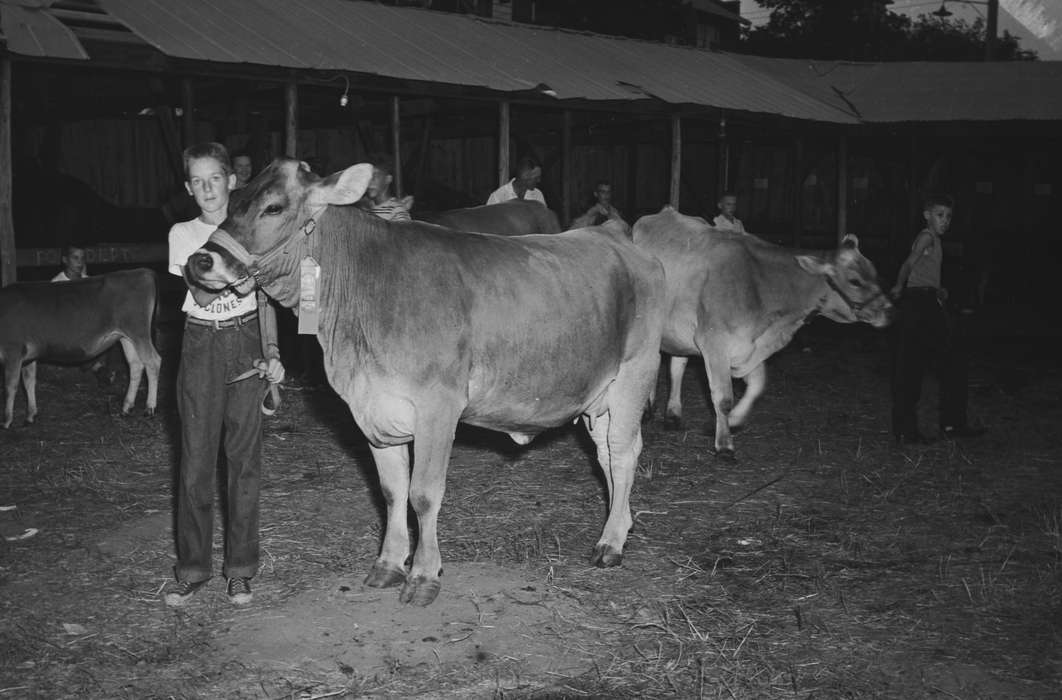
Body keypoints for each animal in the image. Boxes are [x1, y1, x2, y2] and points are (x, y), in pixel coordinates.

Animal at [0, 268, 161, 429]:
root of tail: (141, 271)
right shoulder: (29, 356)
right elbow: (29, 381)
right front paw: (30, 415)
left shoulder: (13, 350)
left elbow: (10, 386)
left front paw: (6, 421)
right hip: (125, 337)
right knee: (136, 365)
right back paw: (126, 408)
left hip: (138, 332)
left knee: (153, 362)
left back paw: (149, 408)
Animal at [185, 159, 665, 607]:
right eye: (234, 201)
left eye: (273, 207)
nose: (199, 260)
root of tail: (615, 238)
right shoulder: (373, 407)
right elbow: (392, 491)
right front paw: (389, 563)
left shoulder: (439, 406)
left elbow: (423, 494)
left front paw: (422, 575)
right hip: (598, 396)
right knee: (605, 454)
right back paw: (618, 526)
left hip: (634, 374)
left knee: (623, 453)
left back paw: (610, 543)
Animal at [633, 207, 892, 461]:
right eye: (855, 281)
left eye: (874, 272)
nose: (890, 311)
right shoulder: (714, 342)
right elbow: (724, 398)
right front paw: (724, 445)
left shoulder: (750, 346)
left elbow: (757, 386)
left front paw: (732, 421)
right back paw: (647, 408)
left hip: (679, 333)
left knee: (675, 366)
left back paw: (672, 414)